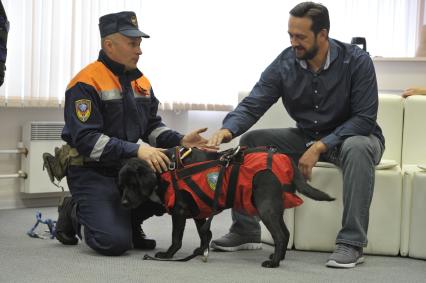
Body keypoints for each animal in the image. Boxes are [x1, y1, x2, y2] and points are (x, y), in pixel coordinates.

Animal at [118, 146, 334, 268]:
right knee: (286, 233)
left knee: (280, 235)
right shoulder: (198, 210)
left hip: (266, 207)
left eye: (133, 185)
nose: (124, 203)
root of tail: (285, 159)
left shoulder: (179, 211)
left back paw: (273, 263)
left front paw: (168, 255)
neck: (168, 169)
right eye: (122, 186)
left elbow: (176, 238)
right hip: (275, 208)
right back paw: (277, 257)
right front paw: (201, 252)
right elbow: (204, 233)